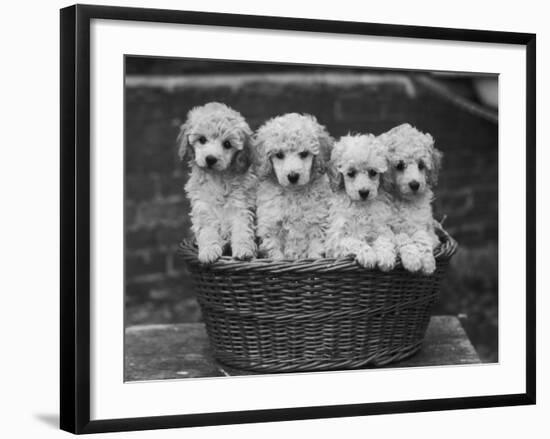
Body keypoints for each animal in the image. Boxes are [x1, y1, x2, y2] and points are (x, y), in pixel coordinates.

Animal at [180, 102, 260, 264]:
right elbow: (207, 231)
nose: (210, 159)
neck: (217, 178)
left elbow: (242, 229)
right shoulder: (203, 207)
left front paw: (244, 250)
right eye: (202, 139)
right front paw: (209, 251)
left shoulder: (241, 206)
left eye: (227, 144)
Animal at [253, 112, 332, 262]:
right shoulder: (271, 225)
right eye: (279, 155)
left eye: (304, 153)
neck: (293, 193)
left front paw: (313, 258)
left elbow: (315, 247)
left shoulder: (317, 222)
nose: (293, 176)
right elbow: (275, 252)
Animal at [326, 134, 398, 272]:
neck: (361, 207)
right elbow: (354, 241)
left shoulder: (381, 227)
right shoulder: (337, 239)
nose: (364, 192)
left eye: (373, 172)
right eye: (351, 173)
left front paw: (386, 257)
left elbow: (384, 239)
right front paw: (368, 255)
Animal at [382, 124, 446, 276]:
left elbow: (422, 237)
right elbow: (402, 237)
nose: (415, 184)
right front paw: (412, 260)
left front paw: (428, 263)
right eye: (399, 165)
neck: (406, 202)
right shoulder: (390, 228)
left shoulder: (425, 226)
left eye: (421, 165)